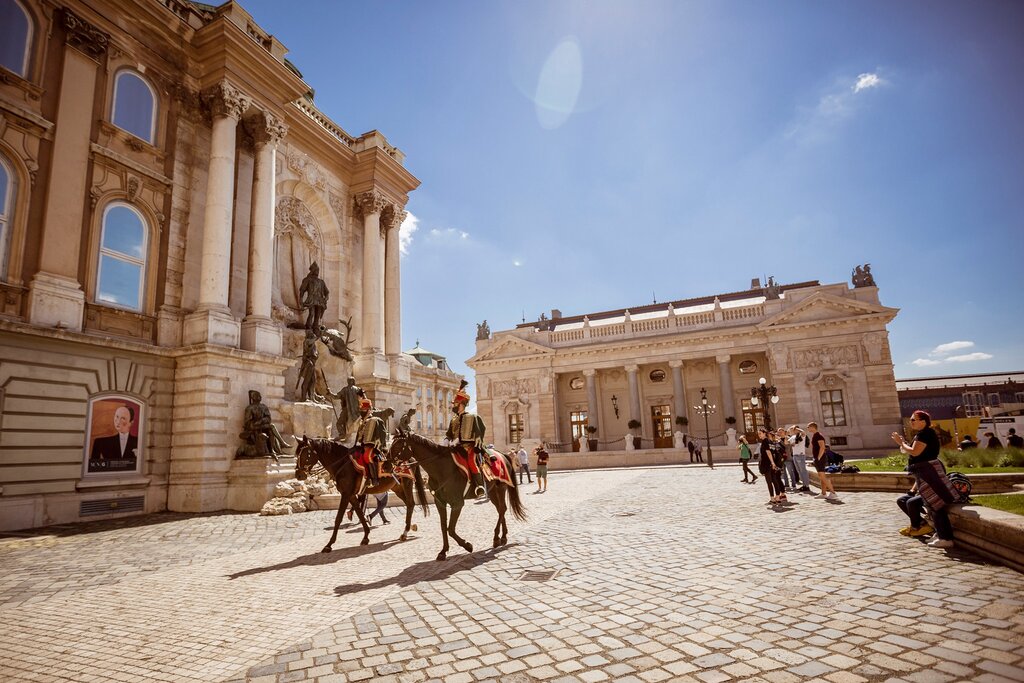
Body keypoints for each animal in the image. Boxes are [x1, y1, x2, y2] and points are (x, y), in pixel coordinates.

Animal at [292, 438, 428, 557]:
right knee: (409, 504)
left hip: (407, 483)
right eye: (297, 454)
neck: (342, 464)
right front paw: (366, 536)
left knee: (410, 503)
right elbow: (359, 513)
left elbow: (338, 519)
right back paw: (409, 528)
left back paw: (405, 532)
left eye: (305, 454)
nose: (298, 474)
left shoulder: (346, 494)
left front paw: (329, 544)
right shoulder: (351, 495)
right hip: (397, 487)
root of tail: (411, 457)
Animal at [385, 436, 528, 565]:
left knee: (502, 509)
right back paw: (502, 537)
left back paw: (497, 538)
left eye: (397, 446)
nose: (386, 466)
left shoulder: (457, 504)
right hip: (492, 491)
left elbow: (451, 529)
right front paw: (443, 551)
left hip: (501, 487)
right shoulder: (440, 503)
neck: (441, 469)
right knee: (500, 510)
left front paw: (467, 545)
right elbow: (444, 527)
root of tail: (502, 454)